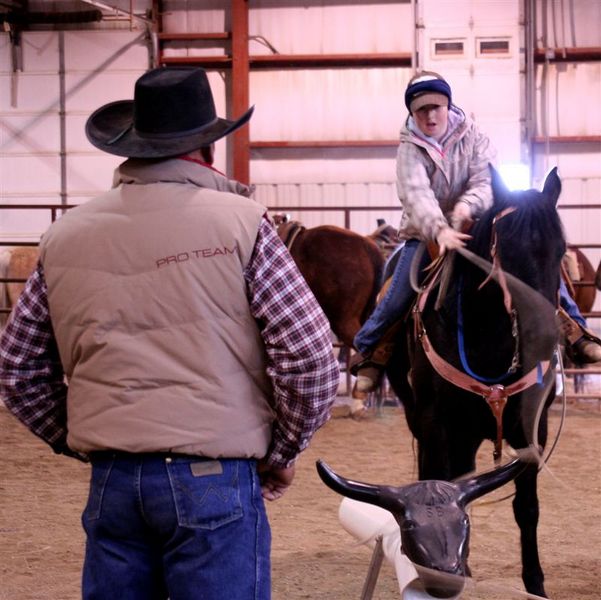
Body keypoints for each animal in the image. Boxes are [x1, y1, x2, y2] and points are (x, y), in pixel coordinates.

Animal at [318, 165, 564, 600]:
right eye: (507, 253)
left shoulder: (531, 428)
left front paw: (535, 584)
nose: (544, 336)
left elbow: (526, 507)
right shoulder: (436, 423)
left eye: (561, 251)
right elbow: (436, 480)